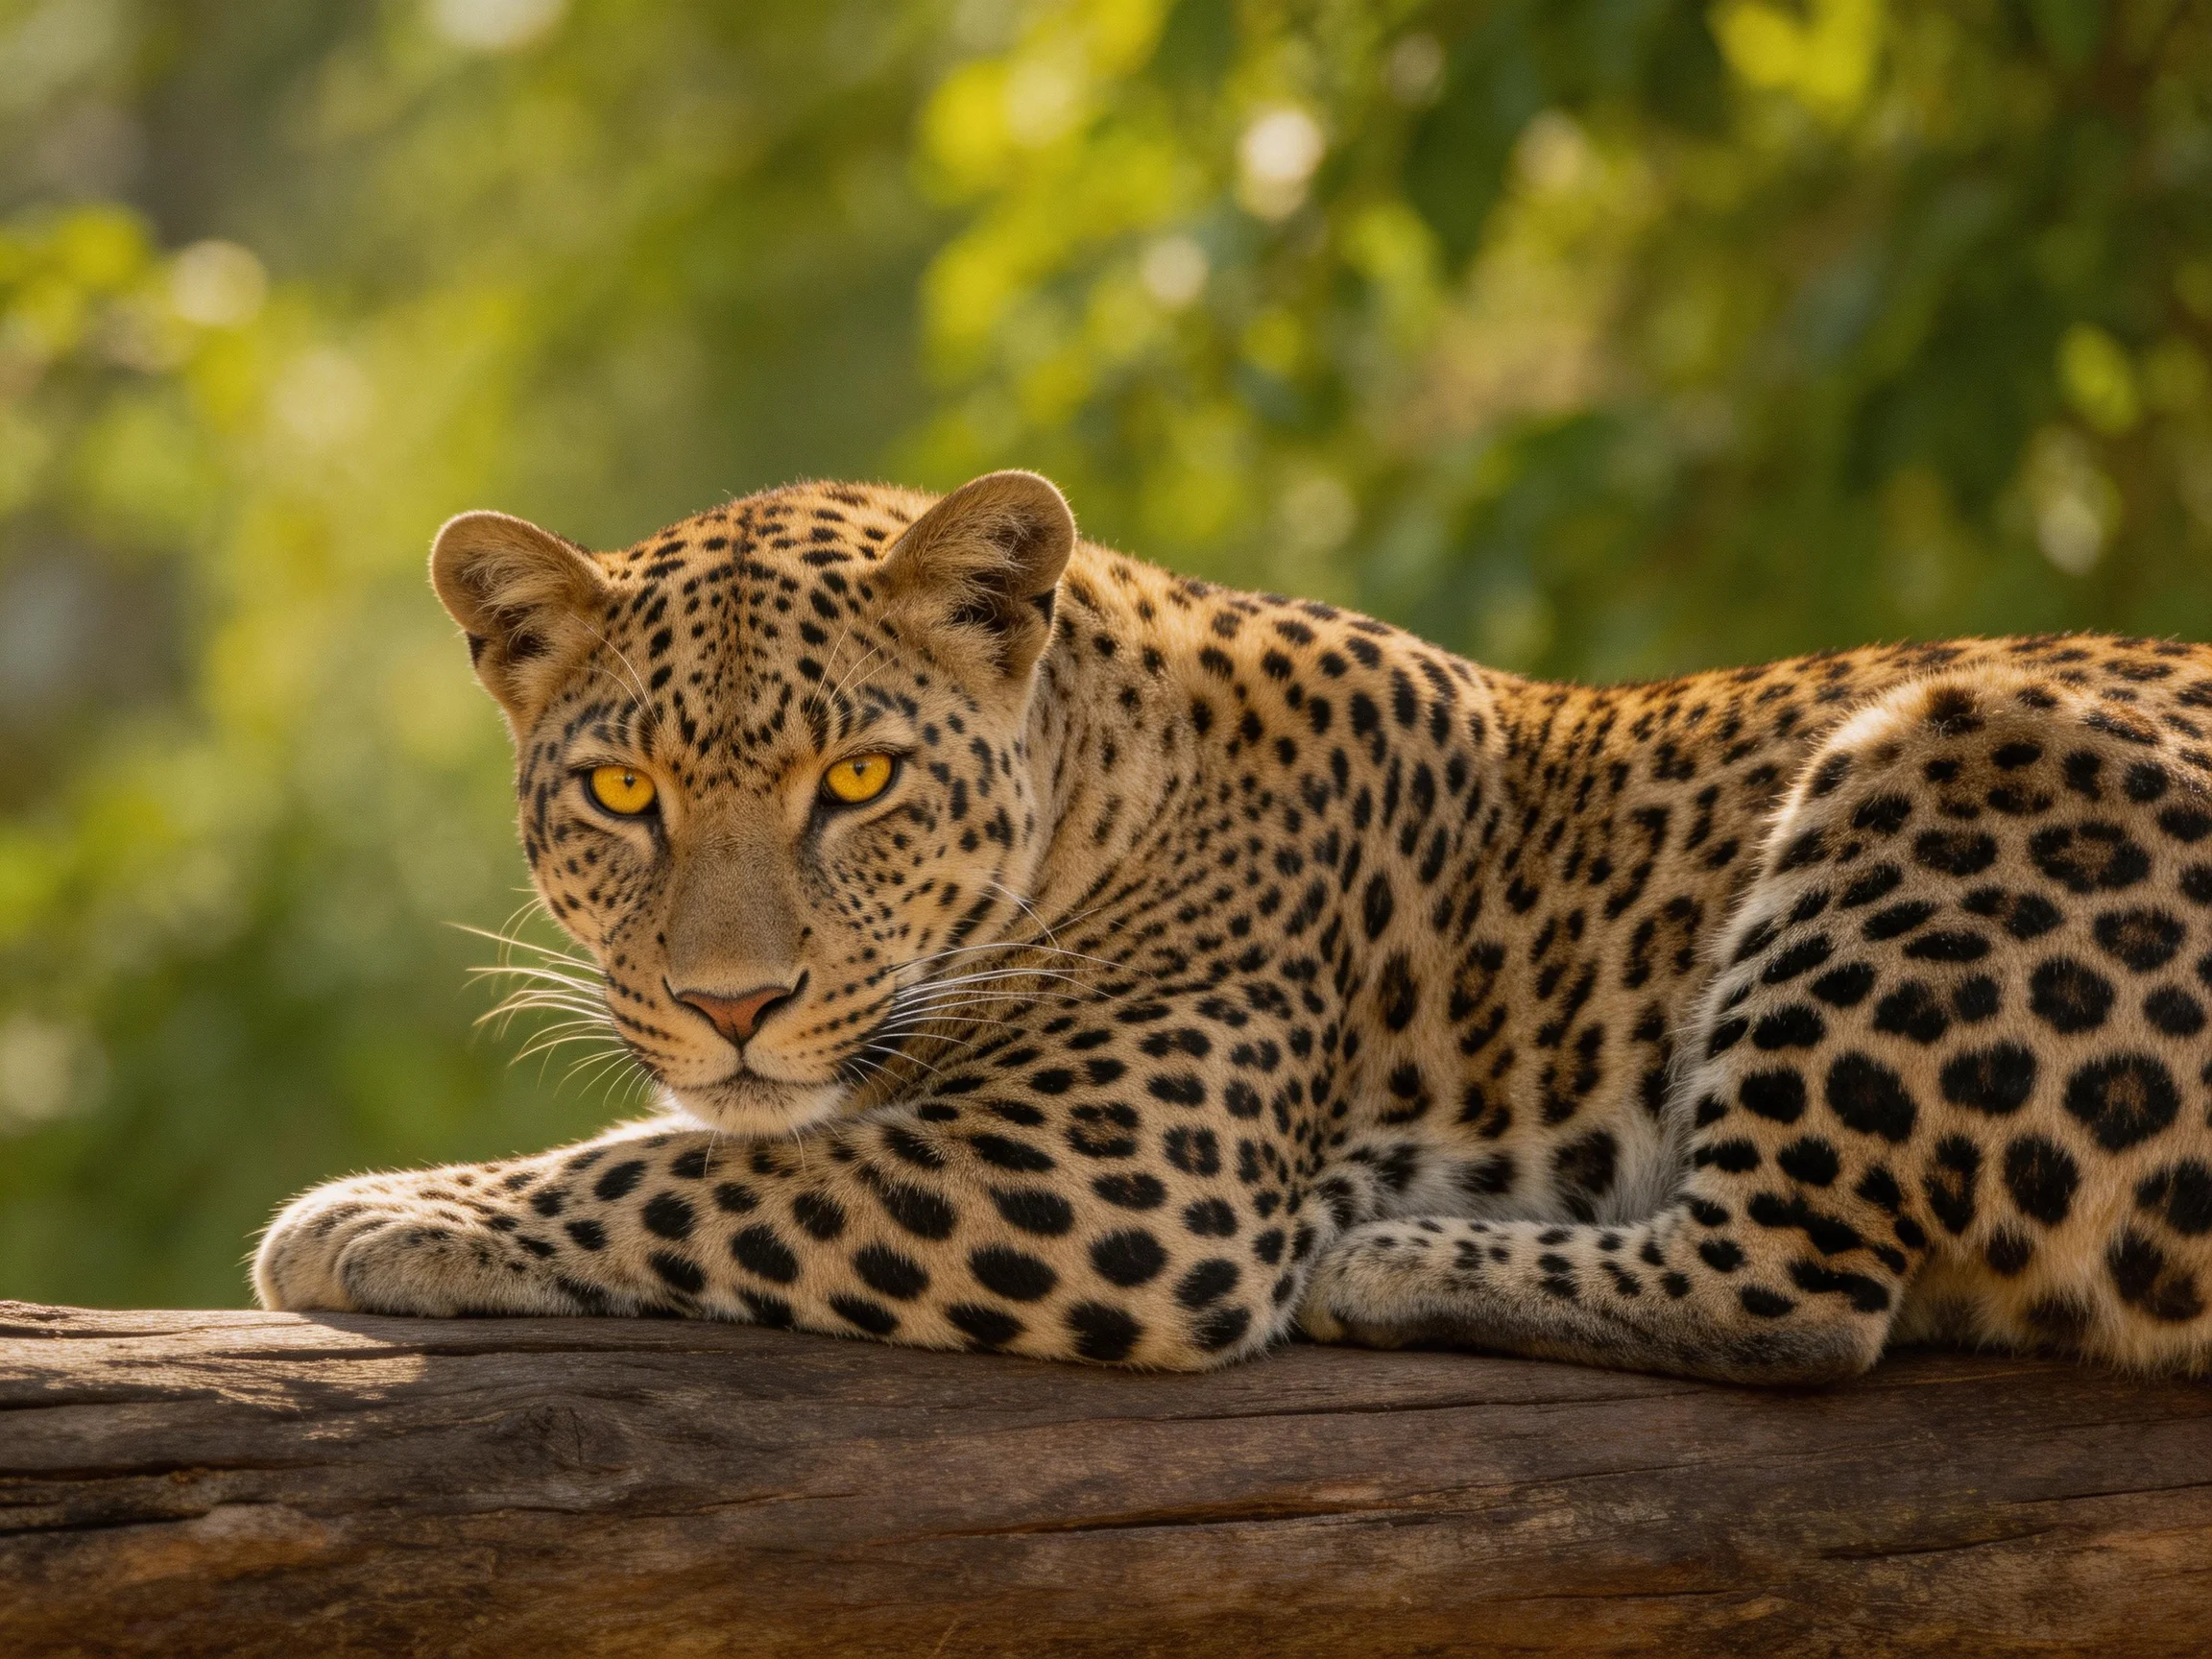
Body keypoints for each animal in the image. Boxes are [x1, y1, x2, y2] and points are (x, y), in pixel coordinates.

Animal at [255, 468, 2212, 1382]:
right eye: (621, 795)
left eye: (860, 780)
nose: (733, 1002)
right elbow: (701, 1141)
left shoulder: (1131, 1177)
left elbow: (694, 1175)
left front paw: (377, 1215)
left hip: (1955, 737)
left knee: (1798, 1293)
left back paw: (1395, 1256)